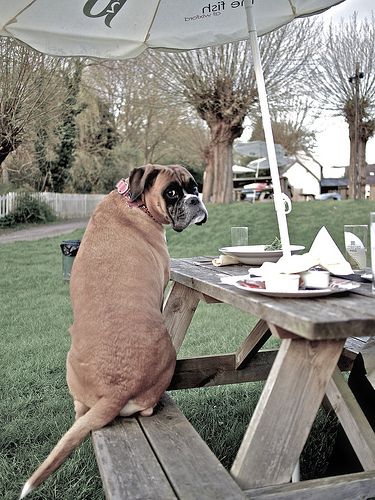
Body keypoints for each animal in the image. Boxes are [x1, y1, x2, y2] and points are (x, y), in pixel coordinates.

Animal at [20, 164, 209, 496]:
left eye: (194, 187)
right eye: (172, 192)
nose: (195, 200)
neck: (134, 203)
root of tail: (116, 391)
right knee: (142, 409)